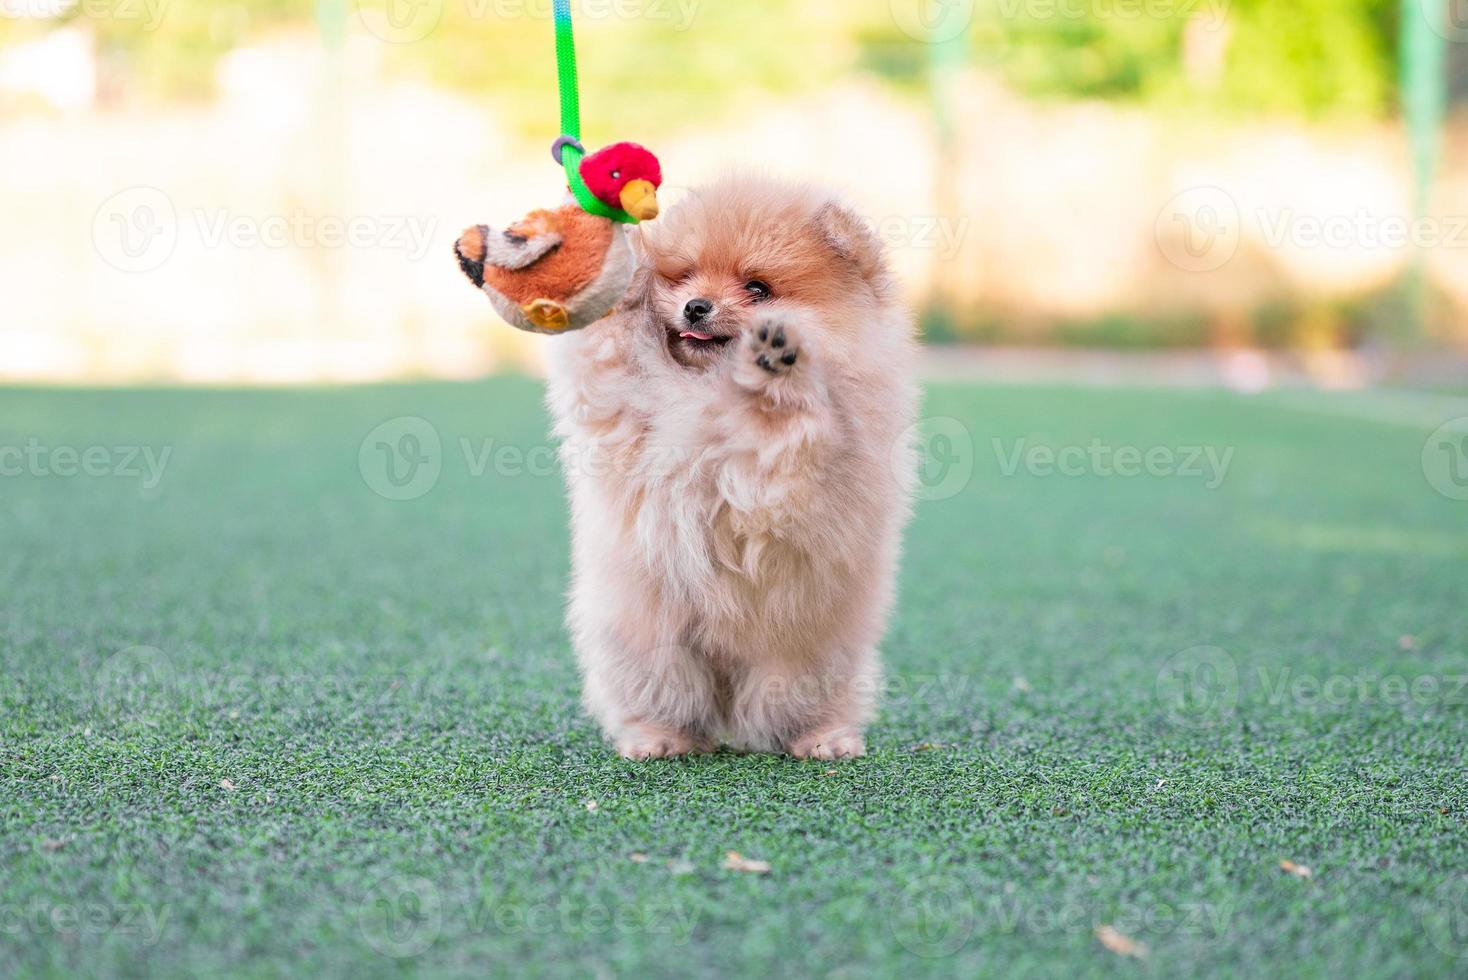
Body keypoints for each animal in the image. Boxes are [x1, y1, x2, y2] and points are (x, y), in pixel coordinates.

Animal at [546, 173, 916, 757]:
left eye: (758, 288)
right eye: (684, 275)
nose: (696, 306)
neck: (708, 384)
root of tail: (726, 701)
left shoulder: (798, 462)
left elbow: (785, 429)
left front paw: (777, 365)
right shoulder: (626, 401)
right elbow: (609, 343)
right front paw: (611, 248)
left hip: (806, 662)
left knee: (792, 708)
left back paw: (823, 739)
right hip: (649, 649)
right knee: (668, 700)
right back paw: (658, 738)